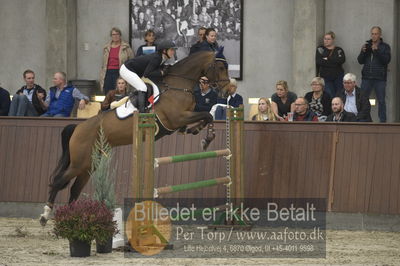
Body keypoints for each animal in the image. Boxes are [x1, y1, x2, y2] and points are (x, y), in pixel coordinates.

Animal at [39, 49, 231, 224]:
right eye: (221, 67)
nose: (228, 90)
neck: (178, 84)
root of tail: (78, 127)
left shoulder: (183, 119)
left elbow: (207, 116)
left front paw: (198, 133)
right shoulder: (177, 118)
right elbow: (207, 115)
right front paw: (206, 139)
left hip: (89, 164)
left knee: (74, 189)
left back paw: (73, 217)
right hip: (79, 162)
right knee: (58, 181)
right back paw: (45, 215)